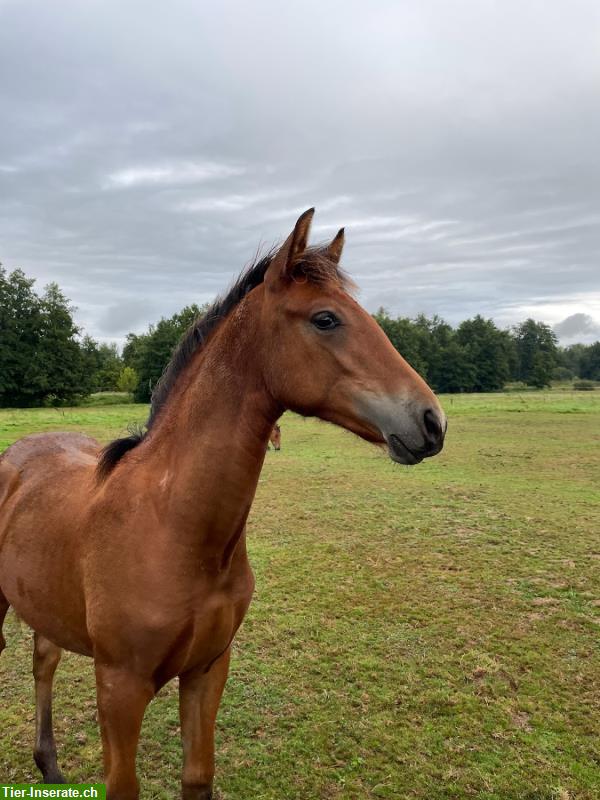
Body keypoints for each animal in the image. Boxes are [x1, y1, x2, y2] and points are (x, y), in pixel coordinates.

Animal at [0, 211, 446, 800]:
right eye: (326, 319)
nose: (432, 422)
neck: (173, 526)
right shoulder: (119, 686)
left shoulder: (209, 668)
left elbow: (197, 777)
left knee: (43, 661)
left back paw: (49, 765)